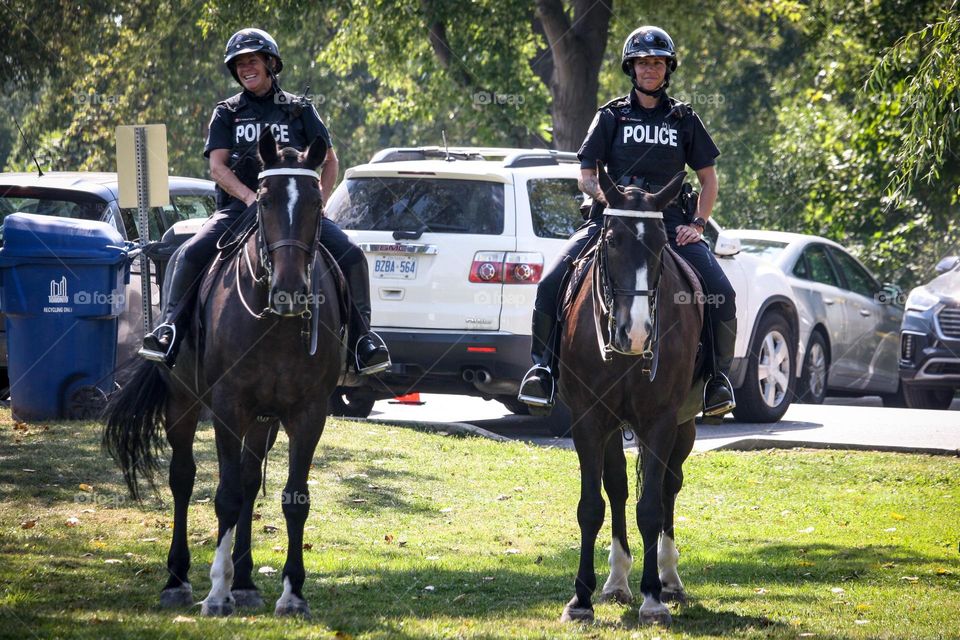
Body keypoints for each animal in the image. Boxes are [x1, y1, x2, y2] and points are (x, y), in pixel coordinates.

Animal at [103, 129, 344, 616]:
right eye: (265, 201)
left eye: (316, 203)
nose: (291, 291)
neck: (274, 322)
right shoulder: (229, 408)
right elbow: (226, 495)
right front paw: (217, 591)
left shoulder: (308, 413)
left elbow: (294, 498)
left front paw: (292, 593)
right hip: (182, 404)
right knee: (183, 478)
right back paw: (178, 579)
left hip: (264, 420)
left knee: (251, 483)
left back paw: (246, 581)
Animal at [556, 169, 704, 624]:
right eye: (612, 239)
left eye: (660, 242)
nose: (635, 333)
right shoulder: (588, 419)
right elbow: (592, 505)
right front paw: (580, 600)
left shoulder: (660, 421)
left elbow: (651, 507)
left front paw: (653, 597)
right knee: (618, 488)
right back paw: (616, 580)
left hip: (684, 427)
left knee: (669, 487)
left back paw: (669, 578)